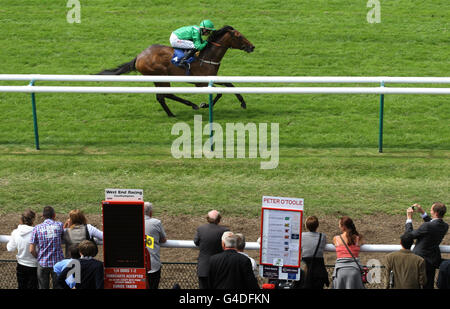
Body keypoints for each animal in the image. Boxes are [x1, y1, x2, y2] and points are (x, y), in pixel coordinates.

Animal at [97, 25, 255, 116]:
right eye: (239, 36)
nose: (252, 47)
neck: (207, 56)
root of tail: (139, 57)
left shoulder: (211, 78)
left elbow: (230, 85)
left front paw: (243, 103)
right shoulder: (200, 83)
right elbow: (220, 92)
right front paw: (204, 104)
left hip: (157, 78)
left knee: (161, 96)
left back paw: (171, 114)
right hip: (160, 75)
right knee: (166, 94)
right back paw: (191, 105)